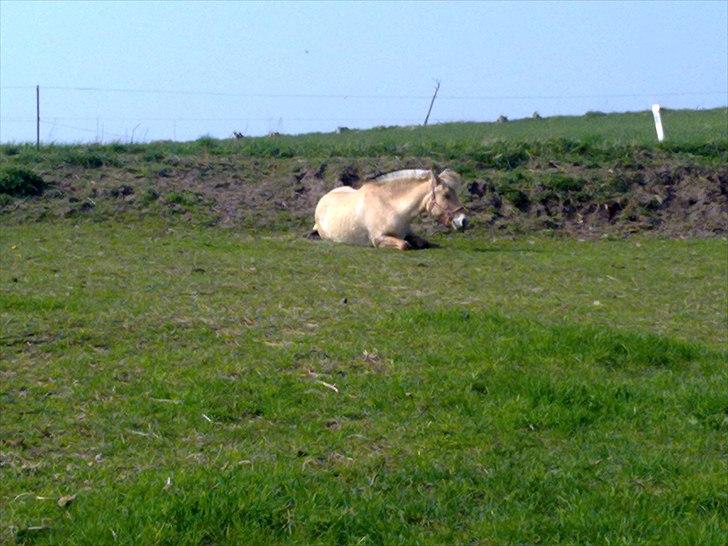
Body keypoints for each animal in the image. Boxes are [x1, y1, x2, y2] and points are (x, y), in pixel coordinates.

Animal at [310, 168, 470, 249]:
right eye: (446, 195)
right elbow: (405, 245)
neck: (390, 206)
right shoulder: (378, 239)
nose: (464, 221)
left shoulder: (407, 233)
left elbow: (423, 242)